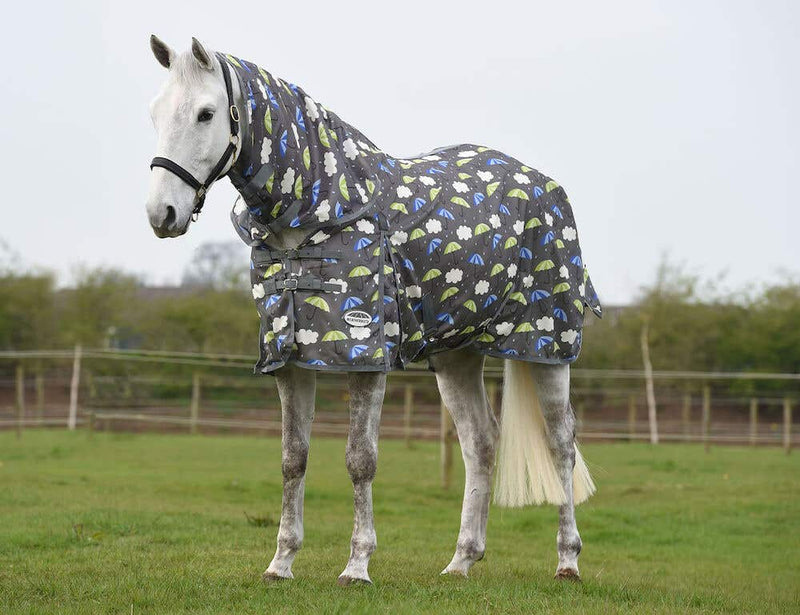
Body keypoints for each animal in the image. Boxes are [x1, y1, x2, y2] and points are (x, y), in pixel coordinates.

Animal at [145, 36, 600, 585]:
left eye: (206, 113)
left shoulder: (365, 354)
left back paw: (568, 561)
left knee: (561, 443)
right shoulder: (290, 359)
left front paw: (357, 565)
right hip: (457, 356)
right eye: (155, 113)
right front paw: (281, 562)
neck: (320, 215)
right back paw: (461, 561)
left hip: (546, 346)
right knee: (481, 443)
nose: (161, 214)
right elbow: (293, 459)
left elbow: (360, 460)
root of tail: (544, 185)